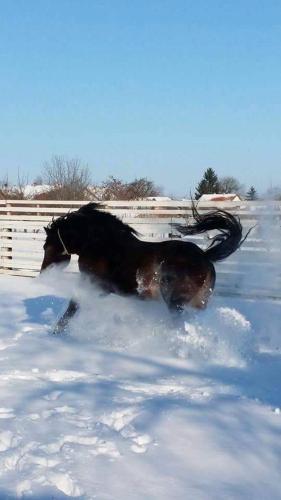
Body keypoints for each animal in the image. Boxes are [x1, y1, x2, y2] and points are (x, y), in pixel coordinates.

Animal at [40, 201, 244, 334]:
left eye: (46, 246)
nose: (43, 272)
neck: (102, 245)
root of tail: (204, 256)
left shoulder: (95, 285)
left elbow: (74, 305)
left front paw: (57, 330)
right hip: (198, 304)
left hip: (176, 302)